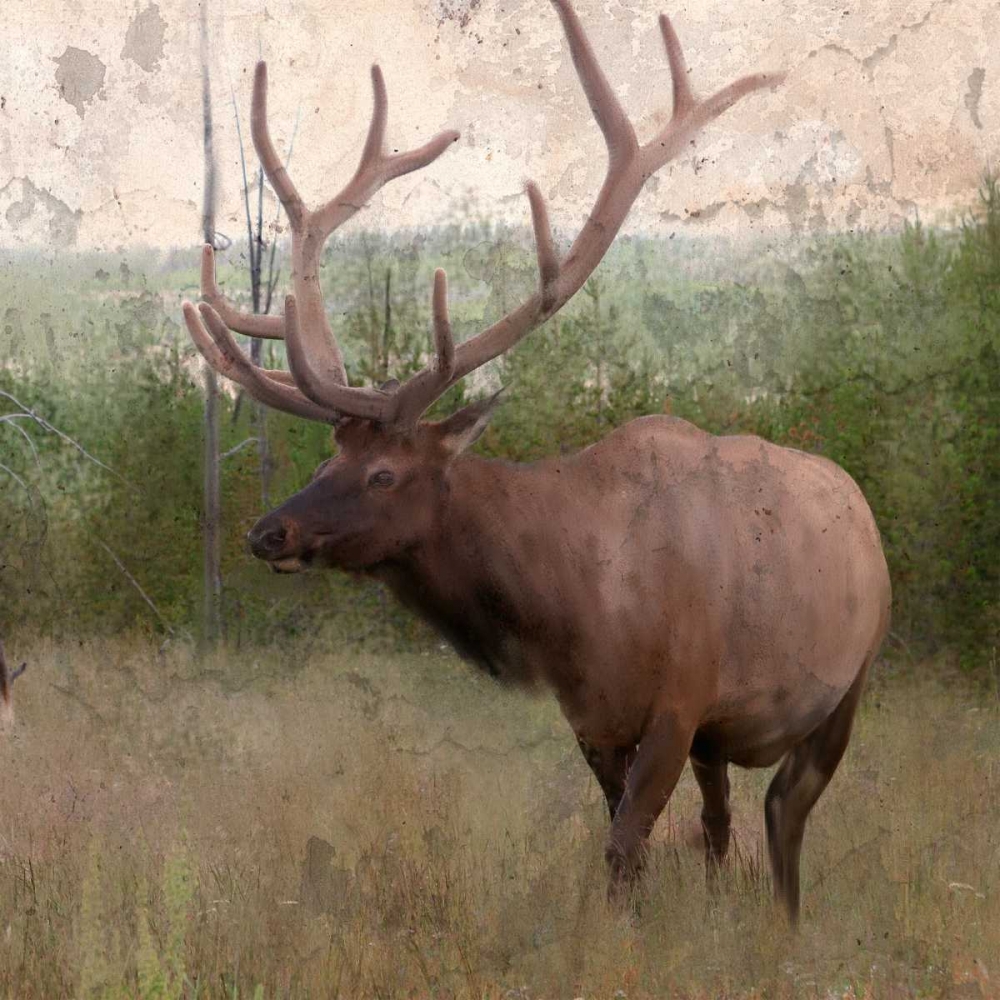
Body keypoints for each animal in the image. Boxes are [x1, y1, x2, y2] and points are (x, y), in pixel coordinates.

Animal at [182, 0, 891, 925]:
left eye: (384, 473)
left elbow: (623, 848)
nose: (270, 532)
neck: (578, 609)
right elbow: (634, 842)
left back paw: (787, 923)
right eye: (327, 456)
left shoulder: (680, 698)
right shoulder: (593, 718)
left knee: (783, 813)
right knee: (721, 823)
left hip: (851, 677)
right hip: (723, 736)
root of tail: (862, 508)